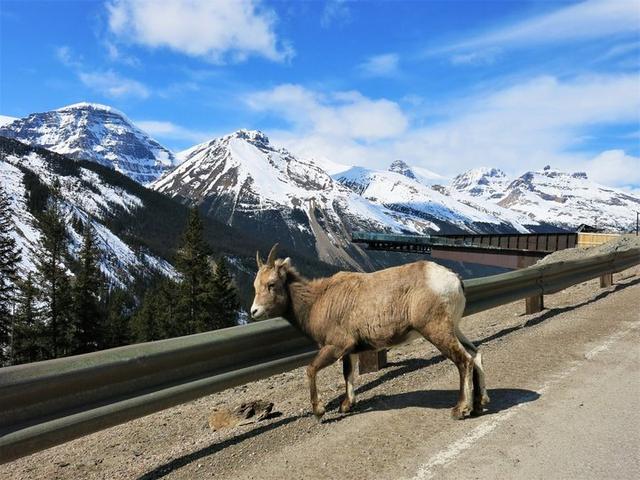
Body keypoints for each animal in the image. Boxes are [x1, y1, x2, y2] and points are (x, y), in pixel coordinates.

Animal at [251, 246, 490, 418]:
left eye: (271, 284)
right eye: (255, 285)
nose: (254, 311)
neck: (316, 302)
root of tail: (454, 280)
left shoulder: (336, 346)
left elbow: (311, 369)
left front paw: (319, 412)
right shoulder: (350, 350)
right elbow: (348, 374)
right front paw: (346, 406)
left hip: (436, 330)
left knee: (464, 360)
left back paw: (461, 410)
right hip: (454, 328)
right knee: (476, 354)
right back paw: (479, 404)